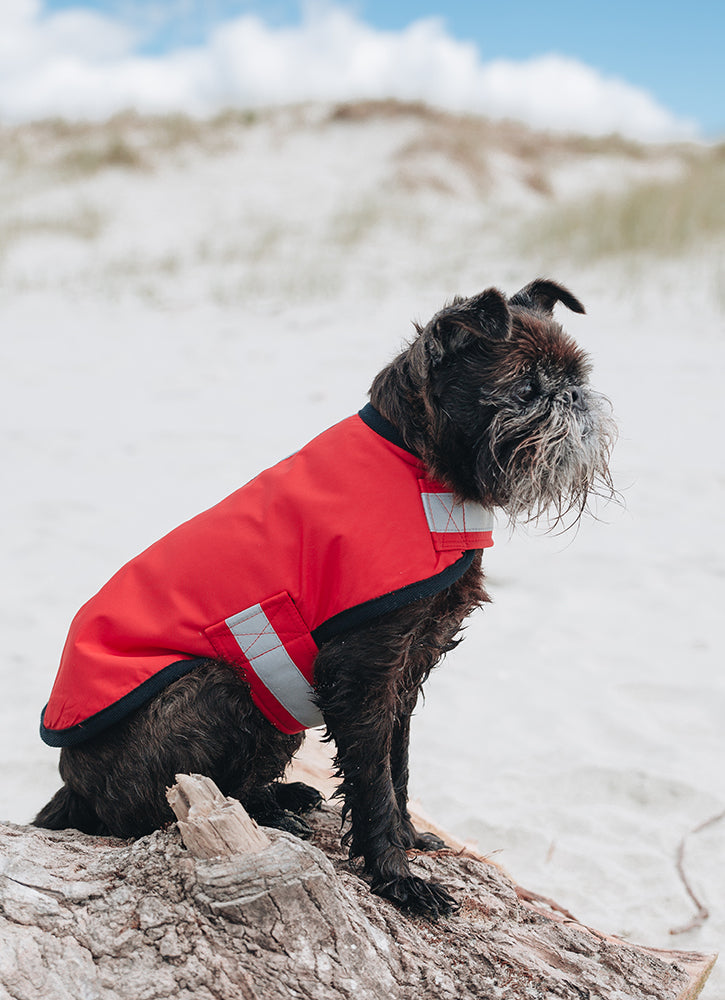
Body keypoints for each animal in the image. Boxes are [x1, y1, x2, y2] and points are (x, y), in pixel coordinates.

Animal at [34, 278, 612, 916]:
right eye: (527, 387)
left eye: (575, 375)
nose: (575, 399)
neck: (416, 461)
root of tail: (72, 781)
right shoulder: (363, 675)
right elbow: (373, 780)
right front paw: (396, 877)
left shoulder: (405, 671)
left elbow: (396, 765)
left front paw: (408, 839)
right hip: (222, 686)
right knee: (149, 815)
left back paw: (280, 798)